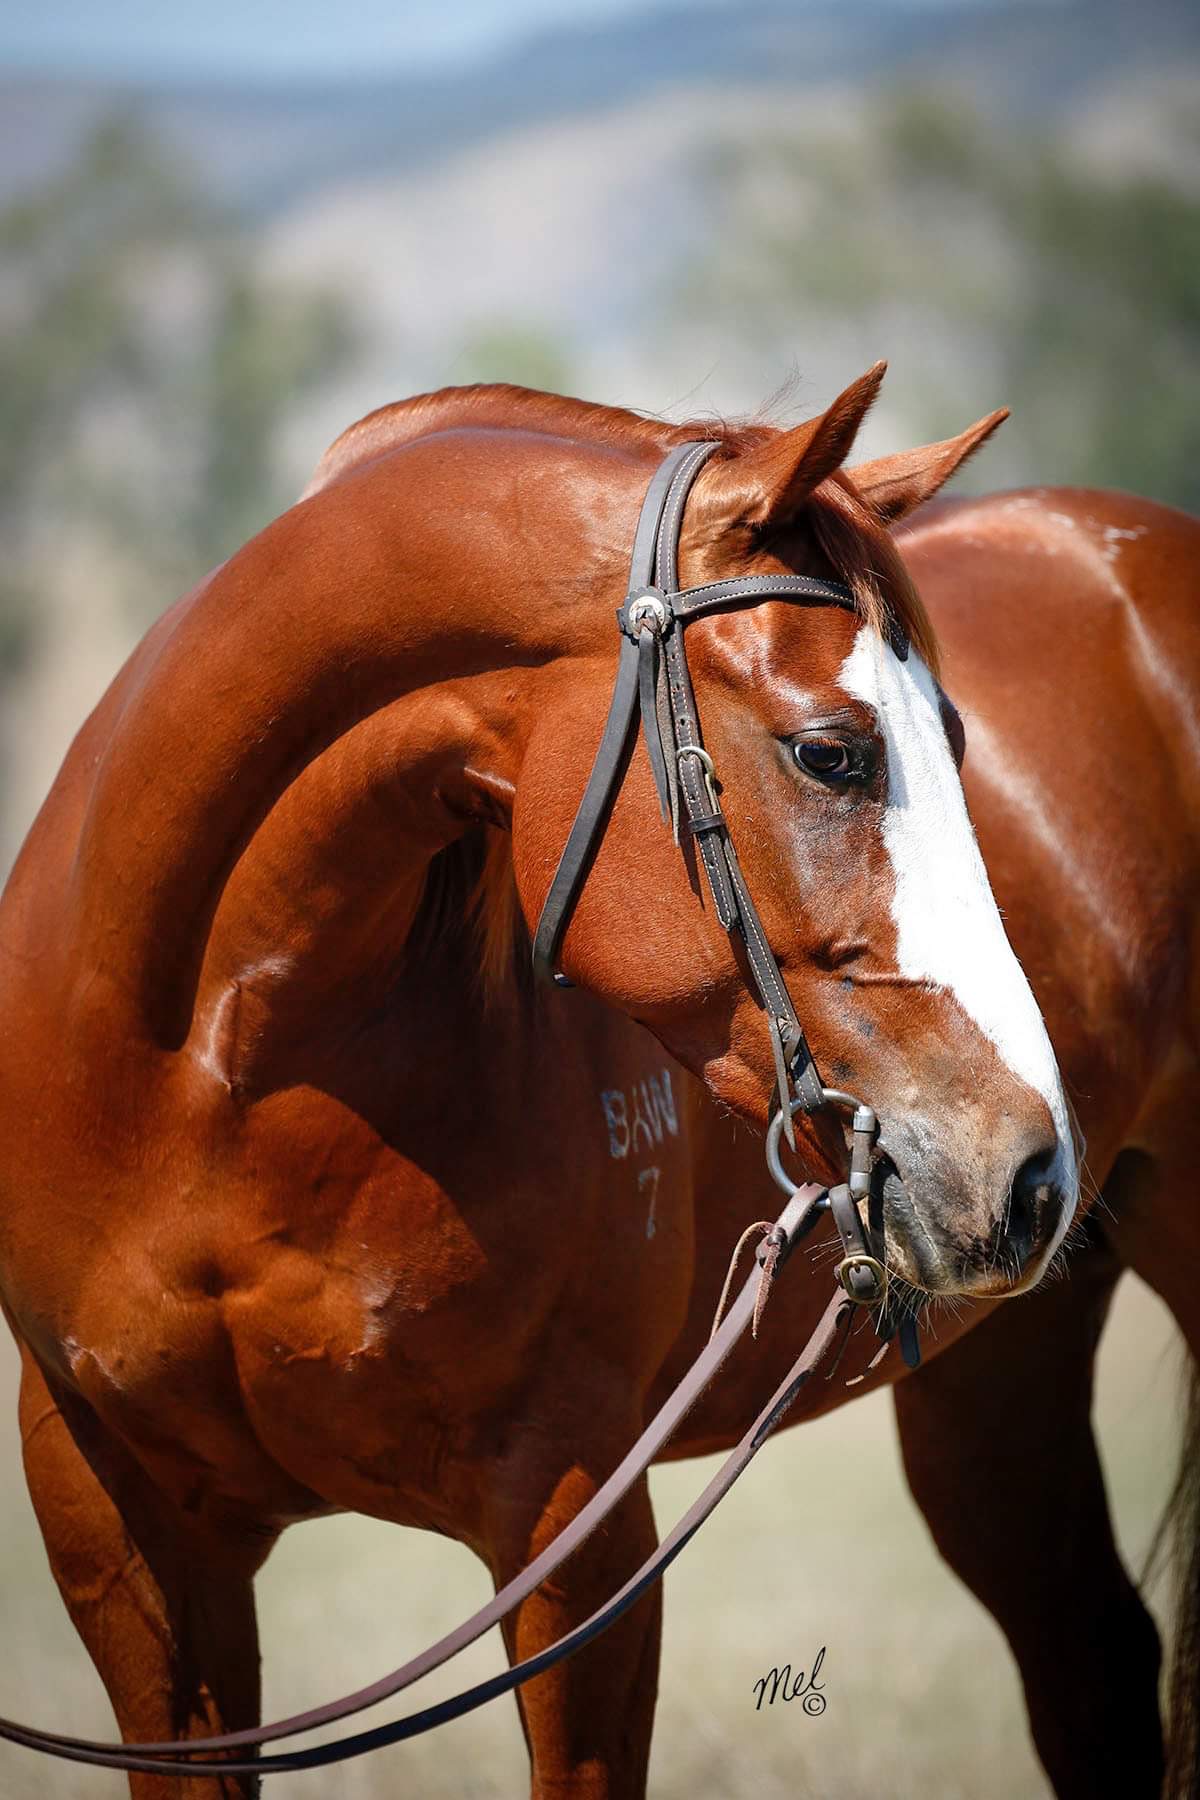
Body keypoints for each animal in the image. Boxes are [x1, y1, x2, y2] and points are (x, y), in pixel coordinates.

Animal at [0, 367, 1195, 1799]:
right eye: (832, 754)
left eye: (955, 740)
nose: (1030, 1169)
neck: (210, 1068)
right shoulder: (119, 1529)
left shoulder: (577, 1538)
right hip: (994, 1371)